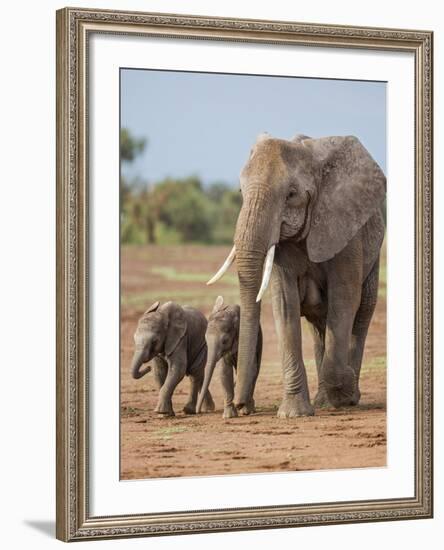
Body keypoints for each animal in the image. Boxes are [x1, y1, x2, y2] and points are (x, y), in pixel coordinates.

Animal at [208, 134, 386, 418]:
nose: (241, 405)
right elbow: (285, 305)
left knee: (361, 313)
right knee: (319, 325)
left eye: (291, 195)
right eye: (240, 192)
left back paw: (345, 396)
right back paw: (325, 402)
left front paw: (345, 390)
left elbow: (345, 299)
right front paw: (294, 414)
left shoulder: (345, 231)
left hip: (374, 254)